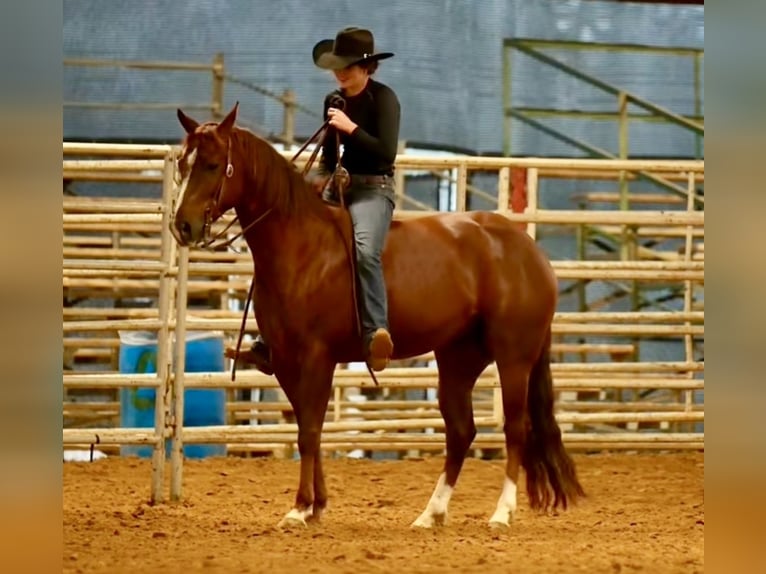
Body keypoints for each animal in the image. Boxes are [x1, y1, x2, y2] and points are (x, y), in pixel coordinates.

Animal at [171, 102, 584, 532]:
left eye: (214, 165)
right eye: (183, 162)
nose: (182, 225)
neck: (302, 247)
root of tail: (526, 247)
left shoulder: (316, 358)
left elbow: (309, 431)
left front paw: (300, 508)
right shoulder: (285, 361)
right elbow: (307, 426)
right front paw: (316, 504)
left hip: (513, 357)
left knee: (515, 428)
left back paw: (501, 513)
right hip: (458, 359)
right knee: (461, 432)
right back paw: (430, 513)